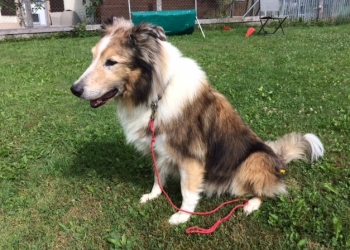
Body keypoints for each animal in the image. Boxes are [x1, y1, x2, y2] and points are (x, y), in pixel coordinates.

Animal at [70, 17, 326, 225]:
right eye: (93, 57)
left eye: (111, 62)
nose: (74, 89)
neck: (156, 95)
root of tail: (277, 160)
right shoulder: (159, 147)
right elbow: (158, 176)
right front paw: (153, 195)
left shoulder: (191, 157)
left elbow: (187, 190)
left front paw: (182, 216)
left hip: (253, 160)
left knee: (267, 190)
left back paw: (251, 204)